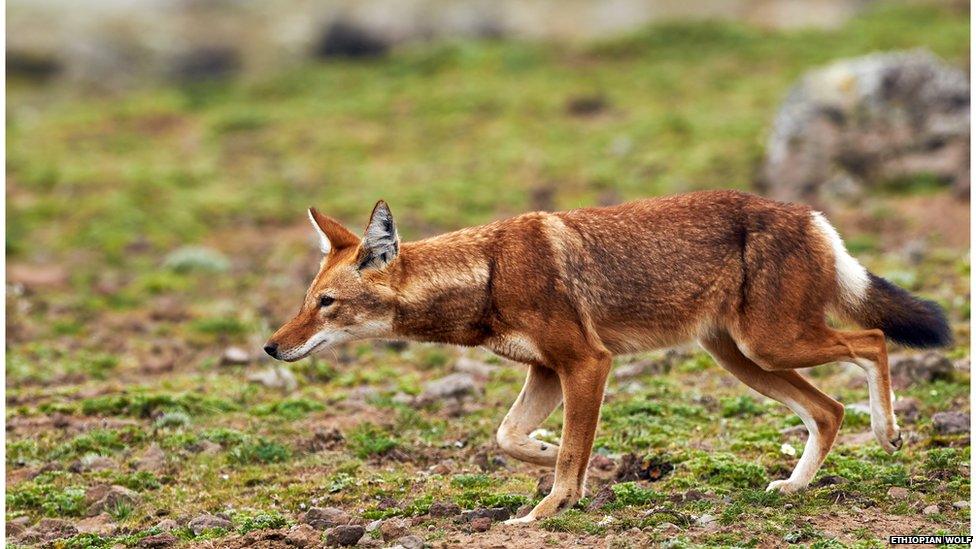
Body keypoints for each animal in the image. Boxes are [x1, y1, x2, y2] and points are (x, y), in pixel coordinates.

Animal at [264, 192, 948, 524]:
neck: (488, 272)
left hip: (772, 344)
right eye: (305, 301)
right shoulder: (546, 371)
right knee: (829, 409)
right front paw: (581, 460)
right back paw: (795, 486)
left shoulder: (587, 364)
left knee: (873, 341)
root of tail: (808, 213)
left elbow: (569, 452)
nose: (272, 346)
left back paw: (888, 433)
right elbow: (512, 437)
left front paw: (545, 511)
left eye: (326, 303)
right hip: (744, 358)